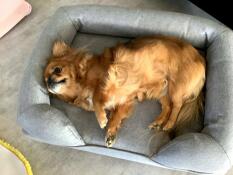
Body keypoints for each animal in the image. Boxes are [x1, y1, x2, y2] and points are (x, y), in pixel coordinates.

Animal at [44, 36, 206, 147]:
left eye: (57, 70)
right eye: (45, 81)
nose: (49, 82)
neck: (82, 80)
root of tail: (201, 59)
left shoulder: (111, 77)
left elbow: (97, 97)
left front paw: (102, 119)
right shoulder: (125, 100)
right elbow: (115, 116)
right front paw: (111, 132)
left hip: (175, 88)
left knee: (177, 106)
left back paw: (169, 123)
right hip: (160, 91)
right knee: (168, 106)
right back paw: (159, 122)